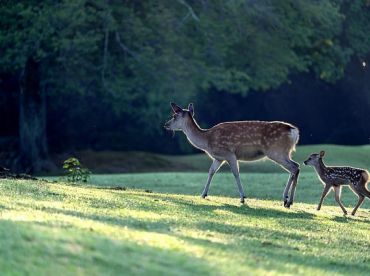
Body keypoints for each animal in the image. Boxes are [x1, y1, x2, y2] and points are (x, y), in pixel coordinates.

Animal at [165, 102, 300, 206]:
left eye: (174, 116)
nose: (165, 125)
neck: (207, 141)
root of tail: (294, 132)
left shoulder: (229, 154)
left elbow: (235, 173)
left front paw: (243, 198)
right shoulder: (218, 158)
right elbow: (211, 171)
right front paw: (203, 194)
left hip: (276, 151)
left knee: (294, 167)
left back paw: (287, 200)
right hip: (284, 152)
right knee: (296, 166)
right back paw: (289, 200)